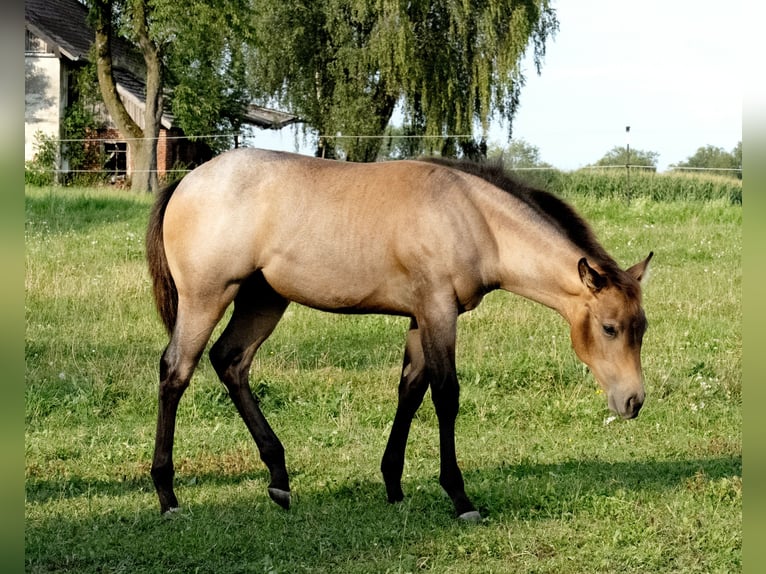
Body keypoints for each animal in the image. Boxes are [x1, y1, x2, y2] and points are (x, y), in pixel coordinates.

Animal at [145, 148, 653, 521]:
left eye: (641, 328)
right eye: (609, 327)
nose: (633, 402)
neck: (473, 217)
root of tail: (187, 181)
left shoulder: (420, 317)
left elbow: (410, 390)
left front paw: (393, 483)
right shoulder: (438, 311)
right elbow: (445, 395)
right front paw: (460, 497)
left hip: (262, 299)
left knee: (231, 361)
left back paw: (279, 480)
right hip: (208, 297)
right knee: (176, 370)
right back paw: (167, 495)